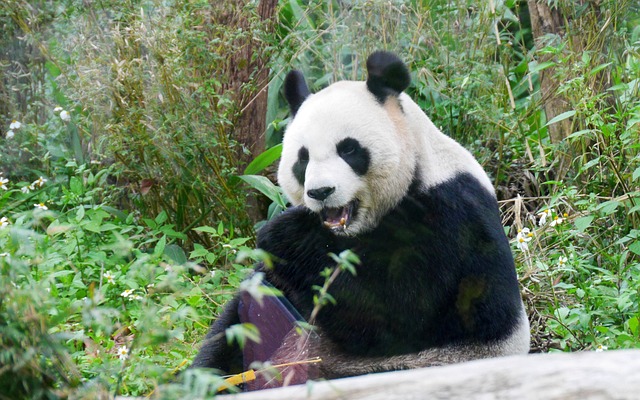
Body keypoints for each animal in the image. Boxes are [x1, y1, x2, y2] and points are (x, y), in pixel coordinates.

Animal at [191, 50, 528, 384]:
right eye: (302, 158)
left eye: (349, 150)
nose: (321, 191)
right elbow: (251, 305)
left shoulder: (452, 217)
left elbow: (400, 315)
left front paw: (286, 233)